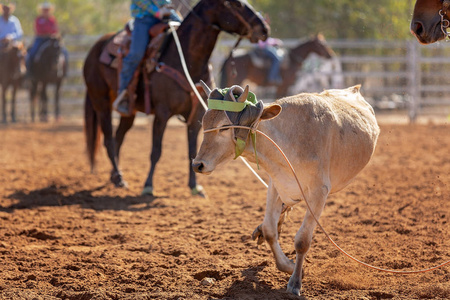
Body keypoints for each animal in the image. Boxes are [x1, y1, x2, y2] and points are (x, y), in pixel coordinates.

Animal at [83, 0, 268, 196]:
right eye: (237, 4)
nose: (264, 29)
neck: (186, 60)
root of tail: (95, 48)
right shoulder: (162, 113)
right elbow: (156, 151)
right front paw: (148, 185)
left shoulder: (196, 116)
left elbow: (192, 151)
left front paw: (195, 186)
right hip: (101, 102)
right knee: (109, 140)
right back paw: (118, 176)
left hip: (129, 112)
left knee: (119, 137)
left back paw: (115, 177)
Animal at [192, 83, 378, 294]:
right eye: (204, 122)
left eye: (224, 127)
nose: (197, 164)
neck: (289, 139)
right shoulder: (277, 184)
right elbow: (270, 230)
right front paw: (287, 265)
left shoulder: (318, 193)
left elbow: (302, 241)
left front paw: (295, 282)